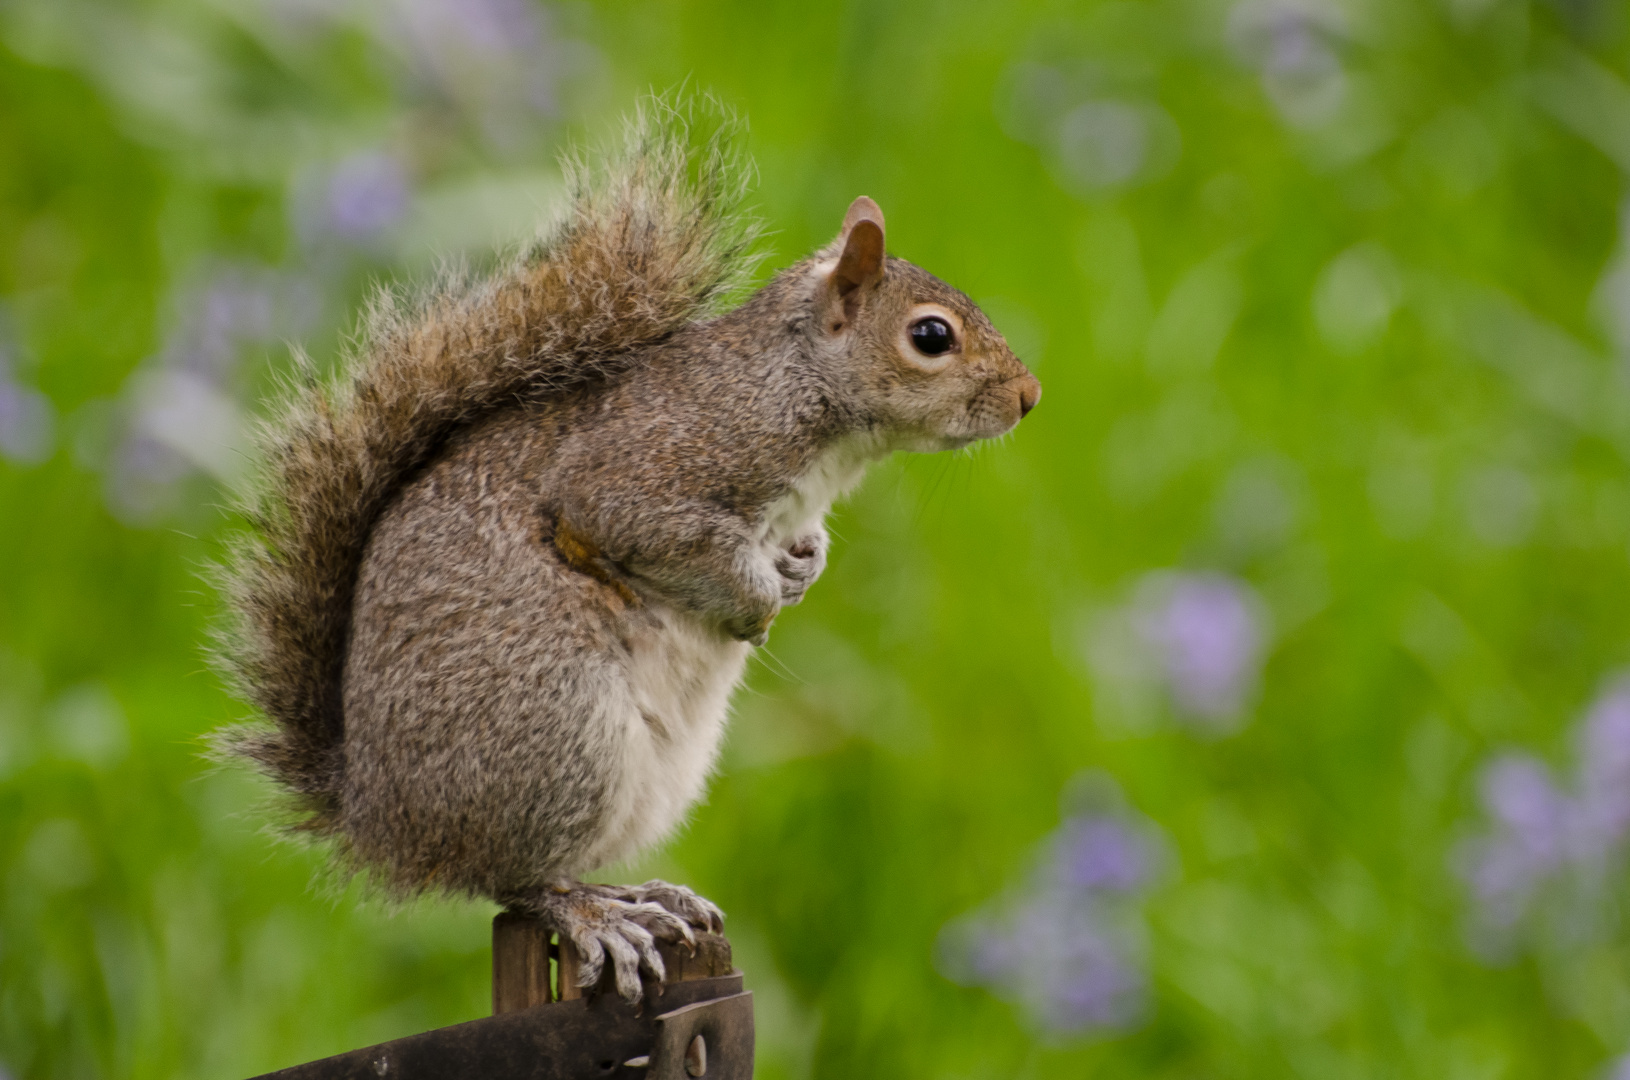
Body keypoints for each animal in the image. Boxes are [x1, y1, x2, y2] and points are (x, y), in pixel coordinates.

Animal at [213, 97, 1043, 1003]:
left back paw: (638, 892)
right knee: (513, 879)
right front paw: (756, 602)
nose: (1030, 397)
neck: (799, 396)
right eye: (931, 337)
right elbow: (635, 528)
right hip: (556, 732)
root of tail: (380, 819)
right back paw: (594, 916)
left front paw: (803, 566)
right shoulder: (649, 470)